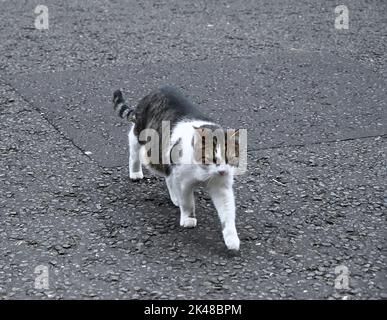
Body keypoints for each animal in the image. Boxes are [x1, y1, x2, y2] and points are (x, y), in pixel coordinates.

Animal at [110, 86, 241, 251]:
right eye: (211, 158)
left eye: (229, 159)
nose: (222, 171)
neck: (204, 173)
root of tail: (157, 90)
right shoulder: (184, 182)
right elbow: (188, 203)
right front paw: (188, 219)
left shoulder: (221, 186)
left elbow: (227, 212)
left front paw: (232, 239)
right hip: (142, 135)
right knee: (134, 147)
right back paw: (135, 172)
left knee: (168, 177)